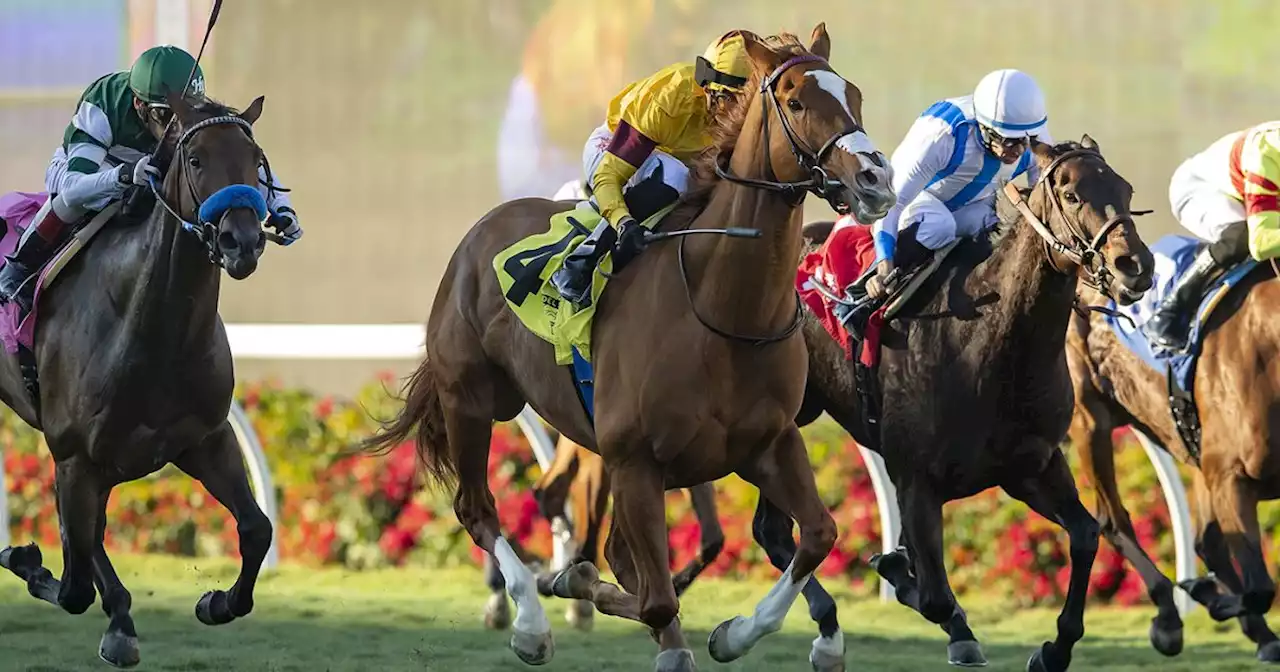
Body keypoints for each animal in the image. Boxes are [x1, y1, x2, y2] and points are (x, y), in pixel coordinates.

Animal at [0, 94, 279, 665]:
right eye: (195, 159)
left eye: (255, 158)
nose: (241, 242)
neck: (153, 329)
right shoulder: (75, 457)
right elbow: (74, 583)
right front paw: (27, 560)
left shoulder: (204, 439)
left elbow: (256, 529)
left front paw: (216, 602)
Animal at [360, 23, 896, 665]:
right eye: (794, 101)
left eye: (855, 96)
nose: (875, 179)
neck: (722, 312)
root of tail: (478, 232)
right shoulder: (635, 460)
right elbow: (657, 599)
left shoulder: (768, 444)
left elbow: (817, 534)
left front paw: (748, 634)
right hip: (471, 399)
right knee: (478, 508)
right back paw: (531, 621)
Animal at [778, 137, 1162, 670]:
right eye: (1071, 195)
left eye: (1125, 190)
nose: (1137, 266)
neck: (986, 343)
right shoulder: (916, 479)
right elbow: (934, 594)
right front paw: (916, 586)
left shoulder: (1030, 464)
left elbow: (1086, 536)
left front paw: (1054, 648)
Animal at [1064, 266, 1280, 660]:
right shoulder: (1230, 478)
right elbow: (1260, 588)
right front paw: (1209, 598)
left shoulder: (1217, 471)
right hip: (1089, 420)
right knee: (1112, 520)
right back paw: (1168, 616)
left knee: (1206, 541)